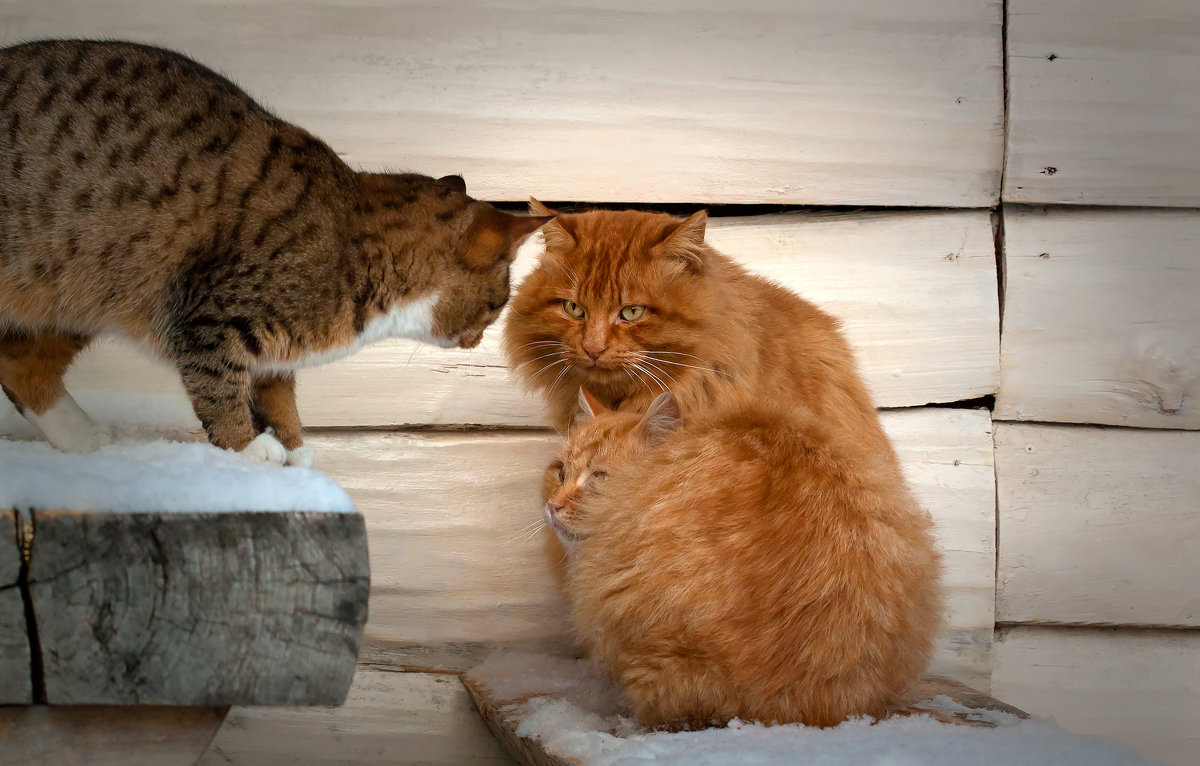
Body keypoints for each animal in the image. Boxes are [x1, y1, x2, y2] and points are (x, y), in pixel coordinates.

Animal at [0, 39, 552, 465]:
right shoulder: (209, 316)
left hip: (75, 292)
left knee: (22, 365)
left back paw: (85, 440)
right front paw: (248, 448)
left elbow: (278, 395)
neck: (352, 228)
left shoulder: (270, 349)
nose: (477, 342)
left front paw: (294, 448)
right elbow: (219, 389)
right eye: (497, 303)